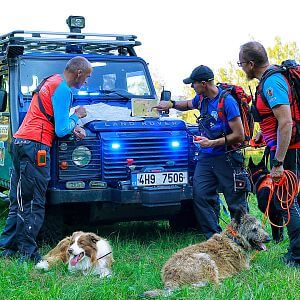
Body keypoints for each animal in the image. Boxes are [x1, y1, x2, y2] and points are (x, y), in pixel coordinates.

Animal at [142, 206, 270, 298]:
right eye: (254, 229)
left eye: (261, 227)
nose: (269, 238)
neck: (235, 239)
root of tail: (170, 279)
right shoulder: (245, 269)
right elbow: (257, 268)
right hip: (206, 260)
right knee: (214, 286)